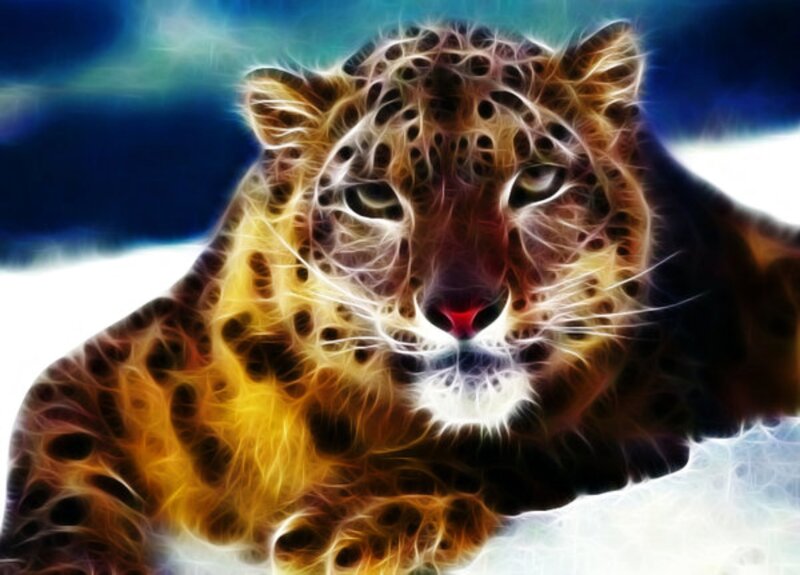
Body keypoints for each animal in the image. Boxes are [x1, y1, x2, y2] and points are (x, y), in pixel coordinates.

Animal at [3, 19, 800, 574]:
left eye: (537, 182)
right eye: (374, 199)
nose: (462, 309)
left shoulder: (661, 407)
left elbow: (524, 446)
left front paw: (349, 527)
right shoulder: (99, 373)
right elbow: (60, 471)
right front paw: (64, 564)